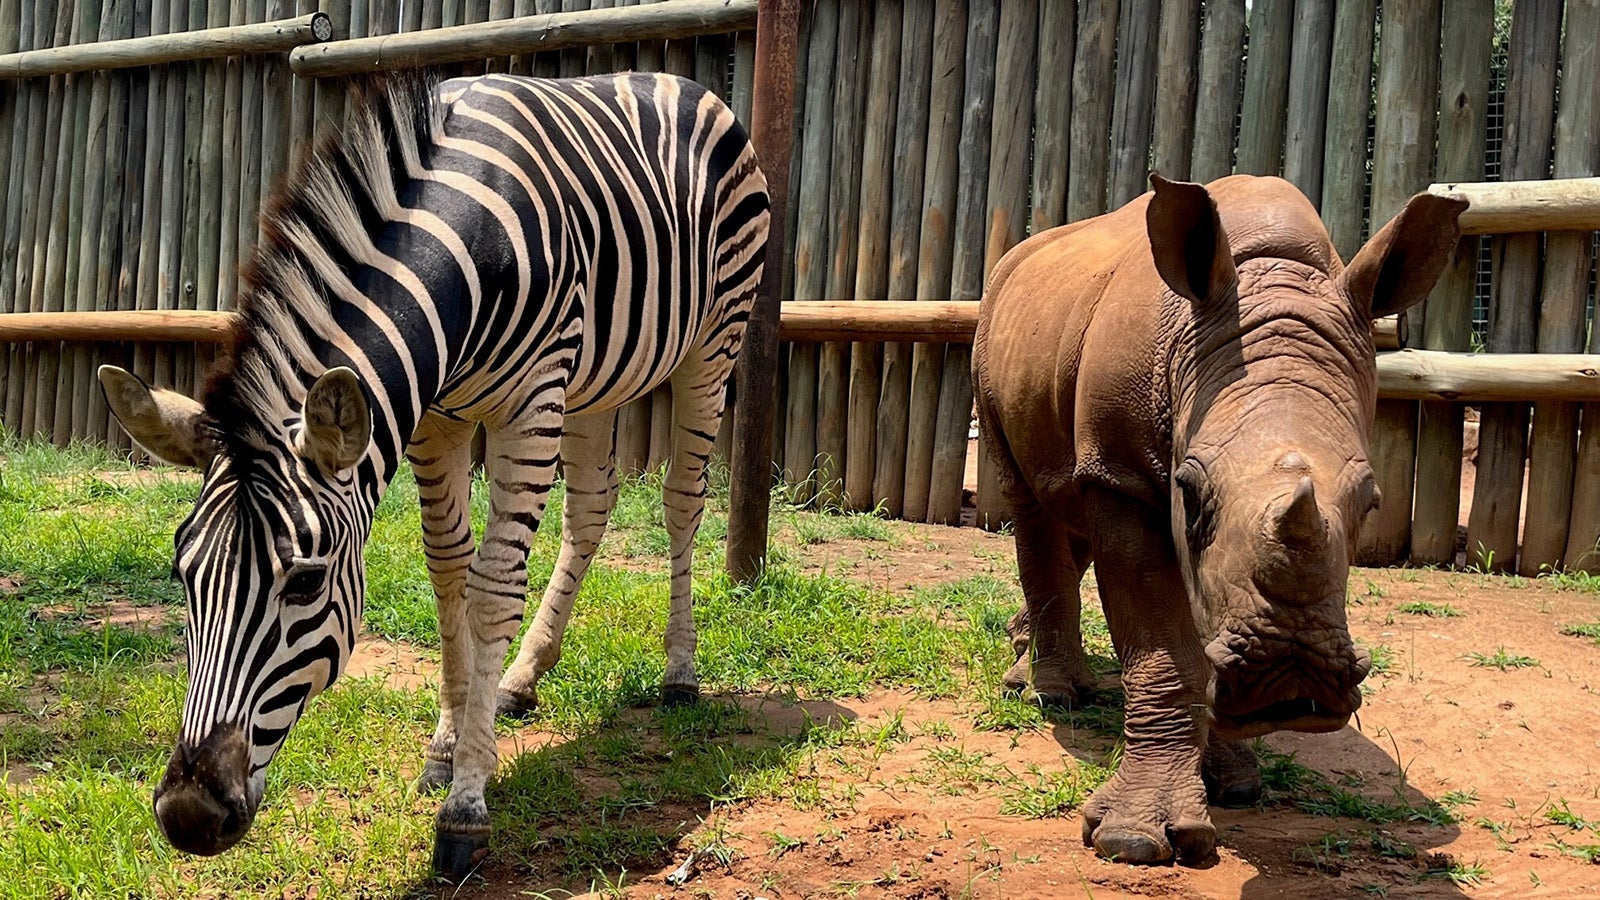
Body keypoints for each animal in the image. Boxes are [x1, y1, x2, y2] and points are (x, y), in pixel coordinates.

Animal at [98, 71, 769, 877]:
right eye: (181, 574)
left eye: (305, 585)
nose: (190, 816)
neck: (462, 242)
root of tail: (676, 80)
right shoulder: (434, 418)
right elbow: (448, 570)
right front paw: (445, 750)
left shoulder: (528, 401)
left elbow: (492, 590)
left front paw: (467, 803)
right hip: (597, 379)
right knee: (592, 506)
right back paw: (522, 676)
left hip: (713, 342)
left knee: (681, 501)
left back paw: (678, 673)